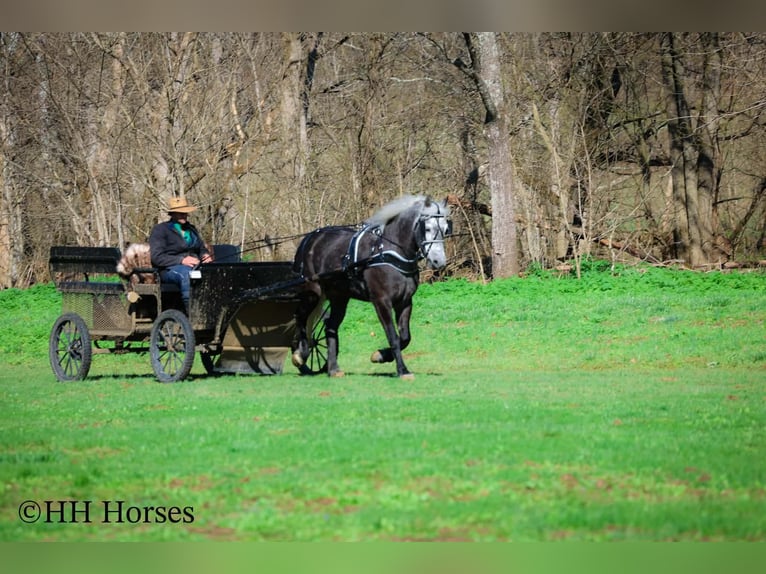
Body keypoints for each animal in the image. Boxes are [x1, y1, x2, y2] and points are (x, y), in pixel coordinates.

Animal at [291, 194, 451, 379]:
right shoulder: (381, 301)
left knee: (330, 326)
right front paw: (402, 370)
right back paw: (301, 354)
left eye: (446, 228)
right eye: (428, 228)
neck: (388, 252)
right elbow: (393, 336)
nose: (439, 262)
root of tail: (310, 238)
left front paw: (380, 355)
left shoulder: (404, 302)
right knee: (300, 317)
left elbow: (405, 337)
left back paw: (333, 368)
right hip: (312, 291)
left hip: (339, 297)